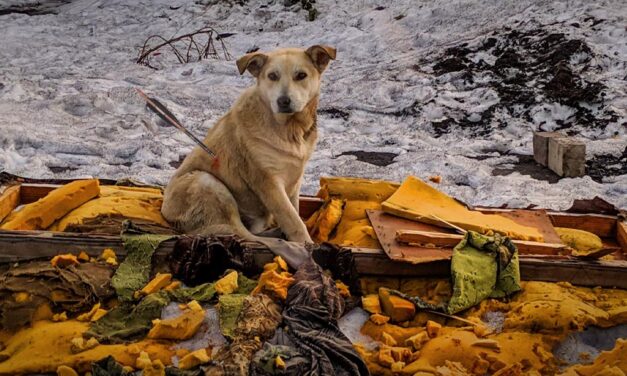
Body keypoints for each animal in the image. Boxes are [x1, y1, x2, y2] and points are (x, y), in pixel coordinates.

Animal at [164, 44, 336, 256]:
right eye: (272, 76)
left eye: (301, 75)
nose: (283, 101)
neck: (289, 130)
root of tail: (166, 211)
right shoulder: (269, 183)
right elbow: (293, 220)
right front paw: (306, 244)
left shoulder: (294, 179)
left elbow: (294, 211)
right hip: (208, 182)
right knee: (242, 234)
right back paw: (288, 247)